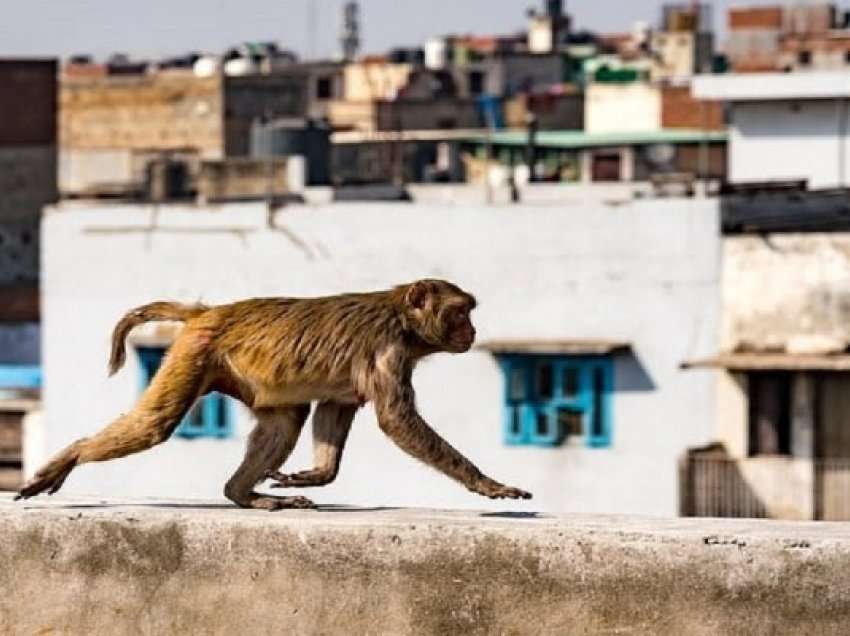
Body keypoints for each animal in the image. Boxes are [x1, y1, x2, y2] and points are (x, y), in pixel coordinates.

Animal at [18, 280, 528, 510]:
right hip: (197, 351)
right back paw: (71, 455)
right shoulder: (388, 351)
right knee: (154, 425)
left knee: (287, 417)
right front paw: (488, 484)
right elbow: (396, 420)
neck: (400, 317)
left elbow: (336, 408)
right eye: (460, 312)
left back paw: (242, 494)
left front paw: (315, 475)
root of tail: (208, 312)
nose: (472, 331)